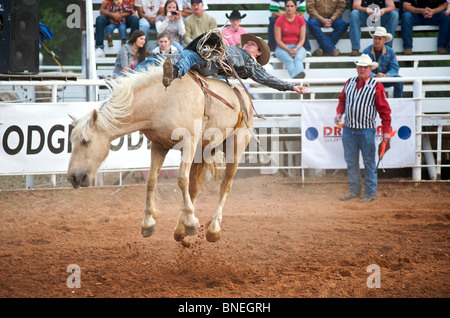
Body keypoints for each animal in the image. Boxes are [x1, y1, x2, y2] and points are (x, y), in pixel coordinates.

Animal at [68, 66, 255, 242]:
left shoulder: (189, 143)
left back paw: (213, 228)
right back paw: (180, 228)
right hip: (202, 151)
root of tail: (243, 95)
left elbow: (181, 180)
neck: (162, 101)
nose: (72, 177)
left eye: (85, 141)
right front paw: (148, 223)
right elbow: (151, 181)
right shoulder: (159, 146)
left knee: (225, 185)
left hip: (236, 146)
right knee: (194, 188)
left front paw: (191, 222)